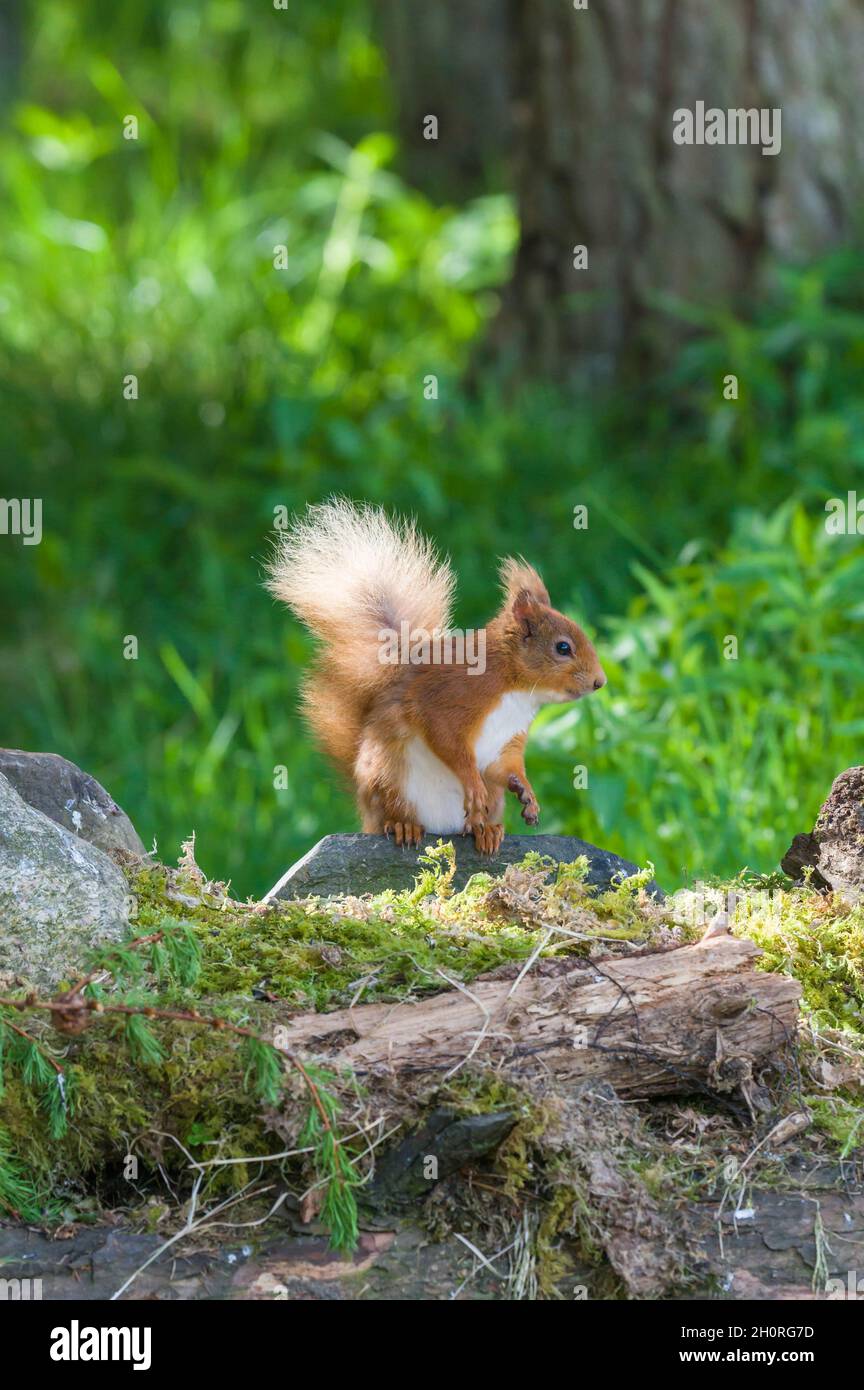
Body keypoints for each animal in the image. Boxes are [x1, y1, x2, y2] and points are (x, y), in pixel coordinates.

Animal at [266, 498, 606, 855]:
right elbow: (447, 740)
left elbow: (507, 767)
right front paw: (472, 782)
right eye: (563, 647)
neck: (515, 689)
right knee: (393, 813)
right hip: (389, 777)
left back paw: (487, 831)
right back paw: (403, 826)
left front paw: (527, 793)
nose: (600, 682)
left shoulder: (509, 739)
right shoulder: (448, 699)